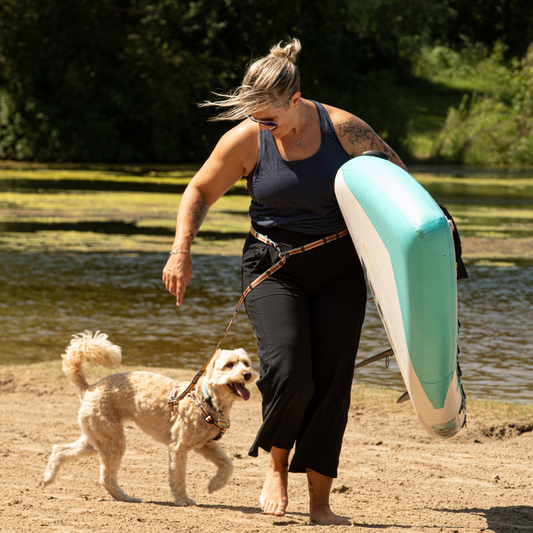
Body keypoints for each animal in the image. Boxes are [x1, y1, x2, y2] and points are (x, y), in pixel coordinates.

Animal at [40, 330, 256, 504]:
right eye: (229, 365)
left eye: (246, 363)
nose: (247, 374)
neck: (205, 400)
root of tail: (89, 387)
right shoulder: (178, 448)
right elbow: (178, 478)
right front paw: (183, 500)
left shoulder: (206, 445)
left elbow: (227, 465)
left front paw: (214, 485)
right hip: (113, 442)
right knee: (106, 478)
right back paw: (126, 498)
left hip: (97, 438)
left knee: (60, 450)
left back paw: (47, 479)